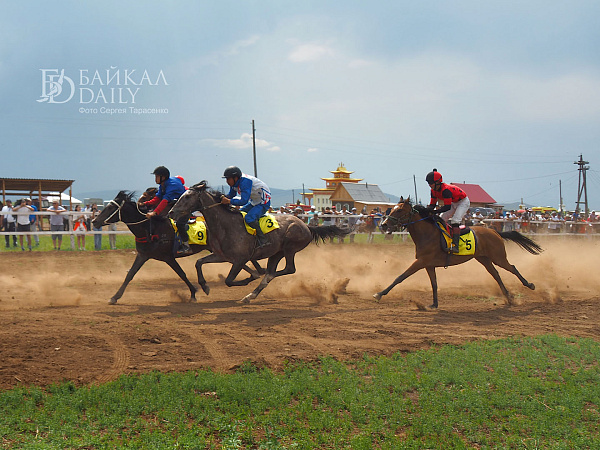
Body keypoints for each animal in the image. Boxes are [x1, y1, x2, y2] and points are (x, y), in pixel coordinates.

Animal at [92, 190, 262, 306]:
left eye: (109, 208)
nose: (94, 221)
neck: (150, 228)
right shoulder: (143, 255)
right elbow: (130, 275)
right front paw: (114, 297)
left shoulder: (168, 257)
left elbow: (182, 274)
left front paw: (193, 293)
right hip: (218, 251)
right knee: (241, 262)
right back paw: (255, 274)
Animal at [169, 182, 350, 302]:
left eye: (188, 196)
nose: (171, 212)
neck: (226, 225)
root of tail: (305, 225)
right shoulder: (222, 256)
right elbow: (199, 262)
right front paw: (205, 286)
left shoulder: (239, 259)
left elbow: (229, 280)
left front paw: (250, 278)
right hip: (276, 253)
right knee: (274, 270)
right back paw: (252, 294)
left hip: (289, 248)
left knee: (287, 269)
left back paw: (260, 282)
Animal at [372, 198, 540, 308]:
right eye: (392, 208)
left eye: (399, 210)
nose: (383, 224)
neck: (427, 234)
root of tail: (494, 231)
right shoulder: (429, 265)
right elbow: (434, 284)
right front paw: (434, 304)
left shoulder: (421, 262)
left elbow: (401, 277)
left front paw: (379, 294)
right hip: (484, 258)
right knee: (496, 274)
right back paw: (509, 298)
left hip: (498, 256)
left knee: (512, 267)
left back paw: (530, 285)